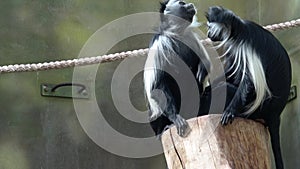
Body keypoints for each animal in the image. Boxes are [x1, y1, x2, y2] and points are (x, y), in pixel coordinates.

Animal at [144, 0, 210, 137]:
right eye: (181, 3)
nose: (190, 4)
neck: (176, 33)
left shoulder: (191, 38)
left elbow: (204, 61)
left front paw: (202, 68)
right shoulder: (160, 45)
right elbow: (158, 86)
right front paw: (176, 118)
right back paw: (167, 126)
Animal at [206, 5, 290, 168]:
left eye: (209, 27)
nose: (208, 33)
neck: (237, 31)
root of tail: (275, 113)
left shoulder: (246, 46)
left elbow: (249, 81)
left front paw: (230, 112)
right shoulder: (233, 48)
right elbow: (231, 71)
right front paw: (207, 88)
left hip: (256, 109)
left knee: (227, 90)